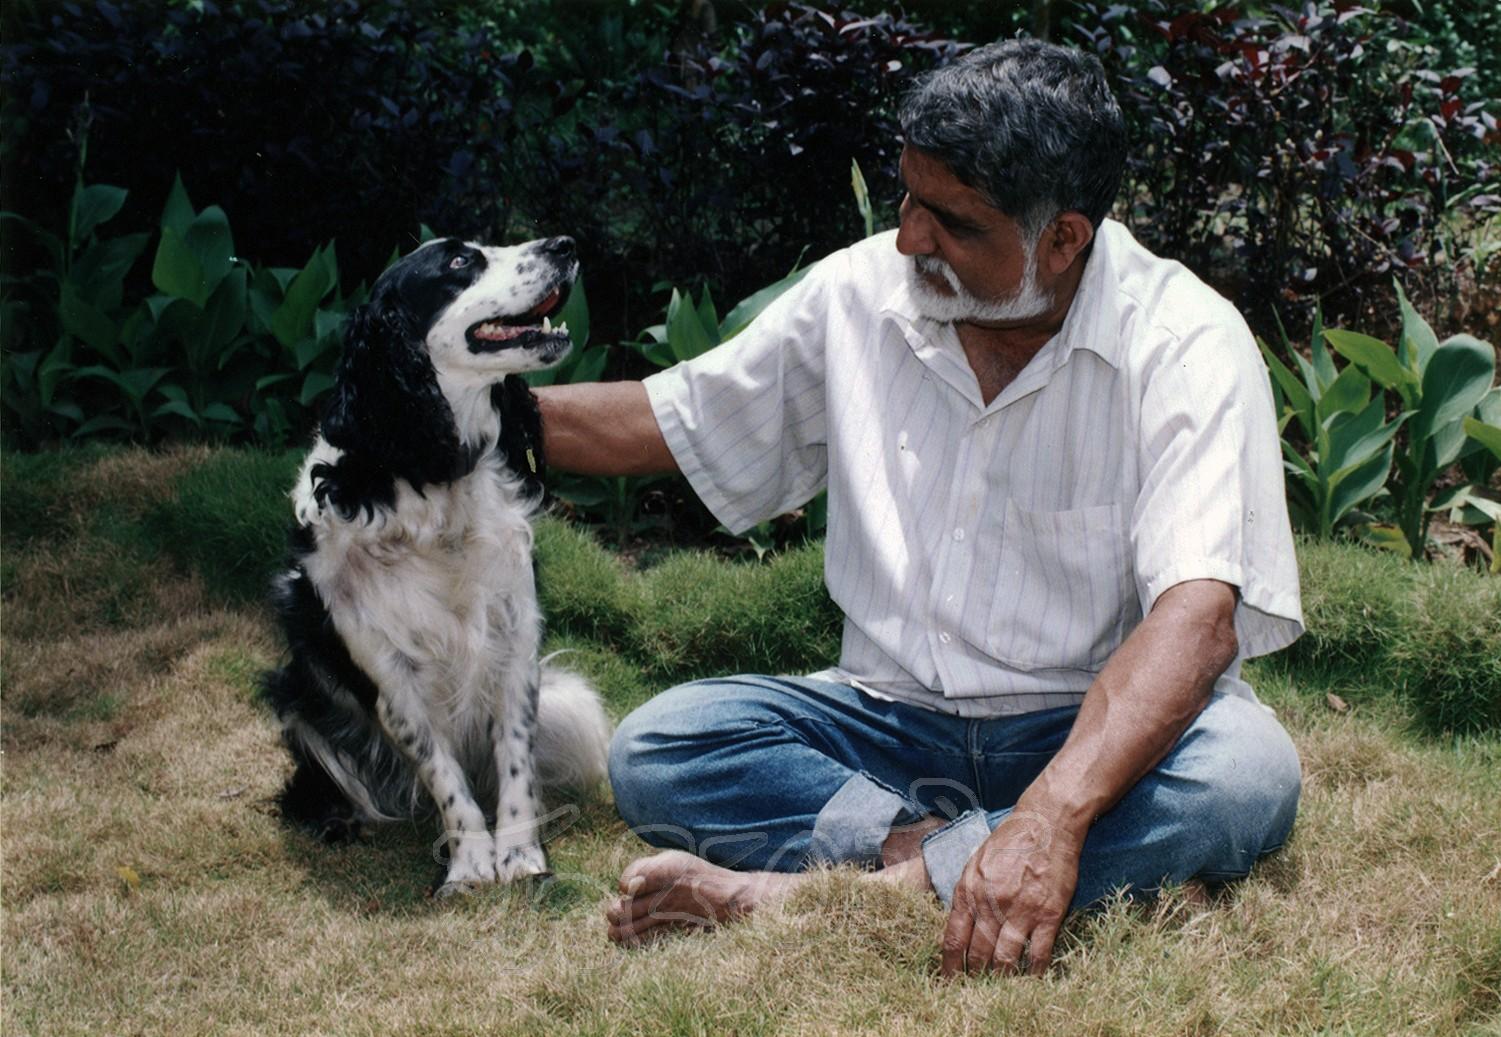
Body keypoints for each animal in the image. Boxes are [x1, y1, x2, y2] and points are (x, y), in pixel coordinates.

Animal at [264, 232, 609, 894]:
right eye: (458, 262)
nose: (564, 243)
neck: (435, 473)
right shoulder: (389, 674)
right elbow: (441, 770)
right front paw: (471, 862)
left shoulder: (514, 640)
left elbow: (515, 761)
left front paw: (520, 855)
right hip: (297, 698)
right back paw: (339, 819)